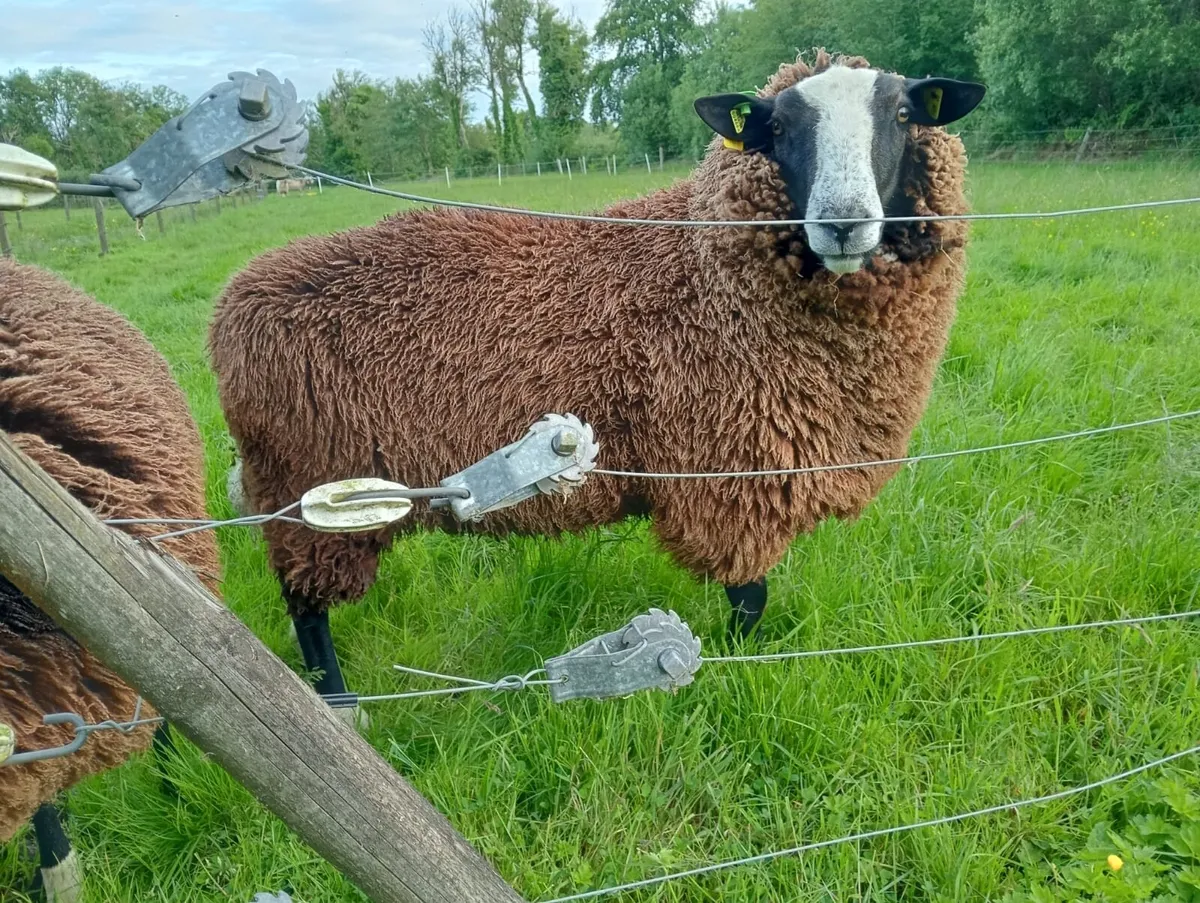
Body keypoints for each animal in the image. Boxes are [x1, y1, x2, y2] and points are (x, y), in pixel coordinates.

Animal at [208, 51, 986, 703]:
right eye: (778, 128)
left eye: (904, 114)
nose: (843, 223)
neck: (711, 271)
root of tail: (233, 301)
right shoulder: (730, 474)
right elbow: (750, 598)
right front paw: (729, 667)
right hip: (313, 495)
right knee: (306, 609)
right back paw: (339, 705)